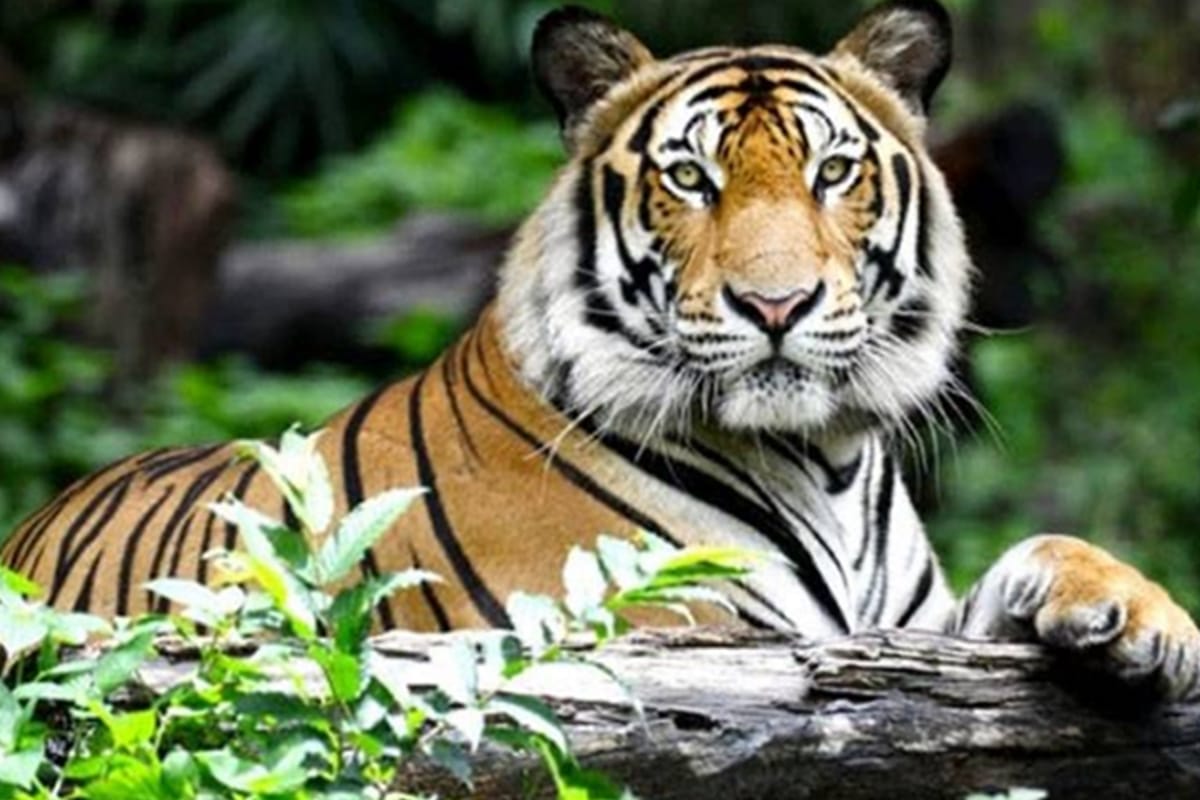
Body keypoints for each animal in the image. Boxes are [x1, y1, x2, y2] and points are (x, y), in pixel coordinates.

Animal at [4, 0, 1199, 700]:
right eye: (690, 178)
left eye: (831, 172)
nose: (778, 304)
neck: (824, 458)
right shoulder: (666, 630)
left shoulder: (913, 628)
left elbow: (1037, 553)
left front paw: (1144, 617)